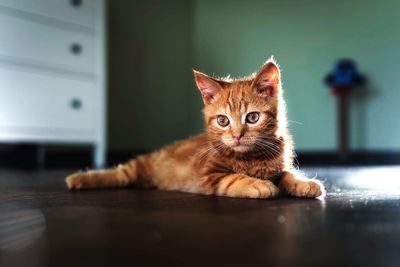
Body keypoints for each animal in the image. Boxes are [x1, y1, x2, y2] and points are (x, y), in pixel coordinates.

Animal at [67, 57, 324, 199]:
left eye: (252, 117)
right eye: (223, 121)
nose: (237, 136)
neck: (250, 159)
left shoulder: (278, 166)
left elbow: (286, 174)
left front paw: (303, 182)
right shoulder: (208, 176)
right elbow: (233, 178)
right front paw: (257, 184)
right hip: (141, 166)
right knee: (120, 173)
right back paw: (79, 179)